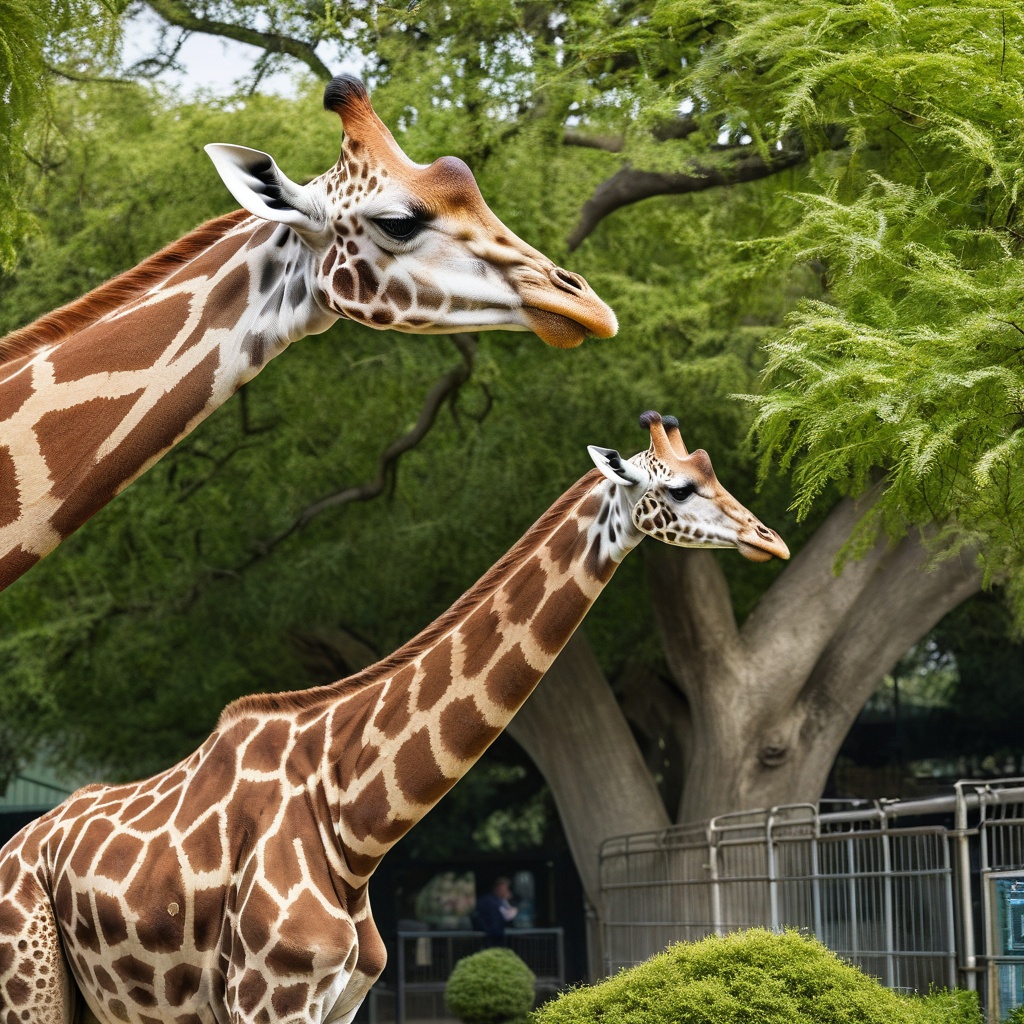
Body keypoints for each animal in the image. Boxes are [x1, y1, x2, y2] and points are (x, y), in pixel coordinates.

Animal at [0, 411, 788, 1024]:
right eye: (678, 486)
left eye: (713, 470)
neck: (355, 825)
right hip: (29, 987)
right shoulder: (265, 998)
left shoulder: (339, 1001)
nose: (771, 540)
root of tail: (16, 843)